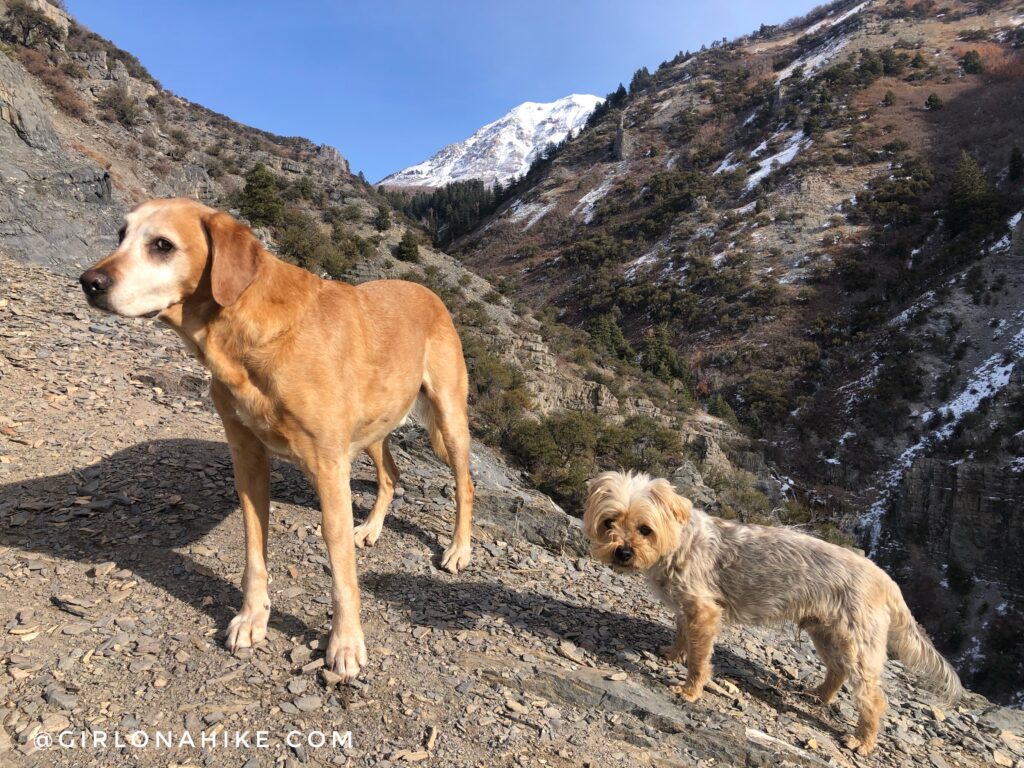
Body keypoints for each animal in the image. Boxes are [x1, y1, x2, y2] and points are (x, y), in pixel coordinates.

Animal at [79, 198, 475, 679]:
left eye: (162, 245)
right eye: (121, 236)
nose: (89, 282)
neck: (243, 331)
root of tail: (427, 291)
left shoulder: (329, 468)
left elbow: (342, 571)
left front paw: (345, 643)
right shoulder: (248, 460)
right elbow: (254, 554)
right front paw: (252, 617)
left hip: (449, 417)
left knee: (464, 484)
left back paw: (458, 549)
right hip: (374, 424)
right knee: (391, 475)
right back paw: (372, 528)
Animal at [585, 473, 958, 753]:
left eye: (645, 528)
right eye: (609, 522)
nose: (623, 553)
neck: (676, 543)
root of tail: (887, 580)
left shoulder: (704, 612)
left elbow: (700, 659)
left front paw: (690, 690)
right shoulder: (685, 609)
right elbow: (681, 633)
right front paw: (673, 653)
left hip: (858, 644)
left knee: (873, 698)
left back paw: (862, 741)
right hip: (826, 632)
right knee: (837, 669)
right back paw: (819, 695)